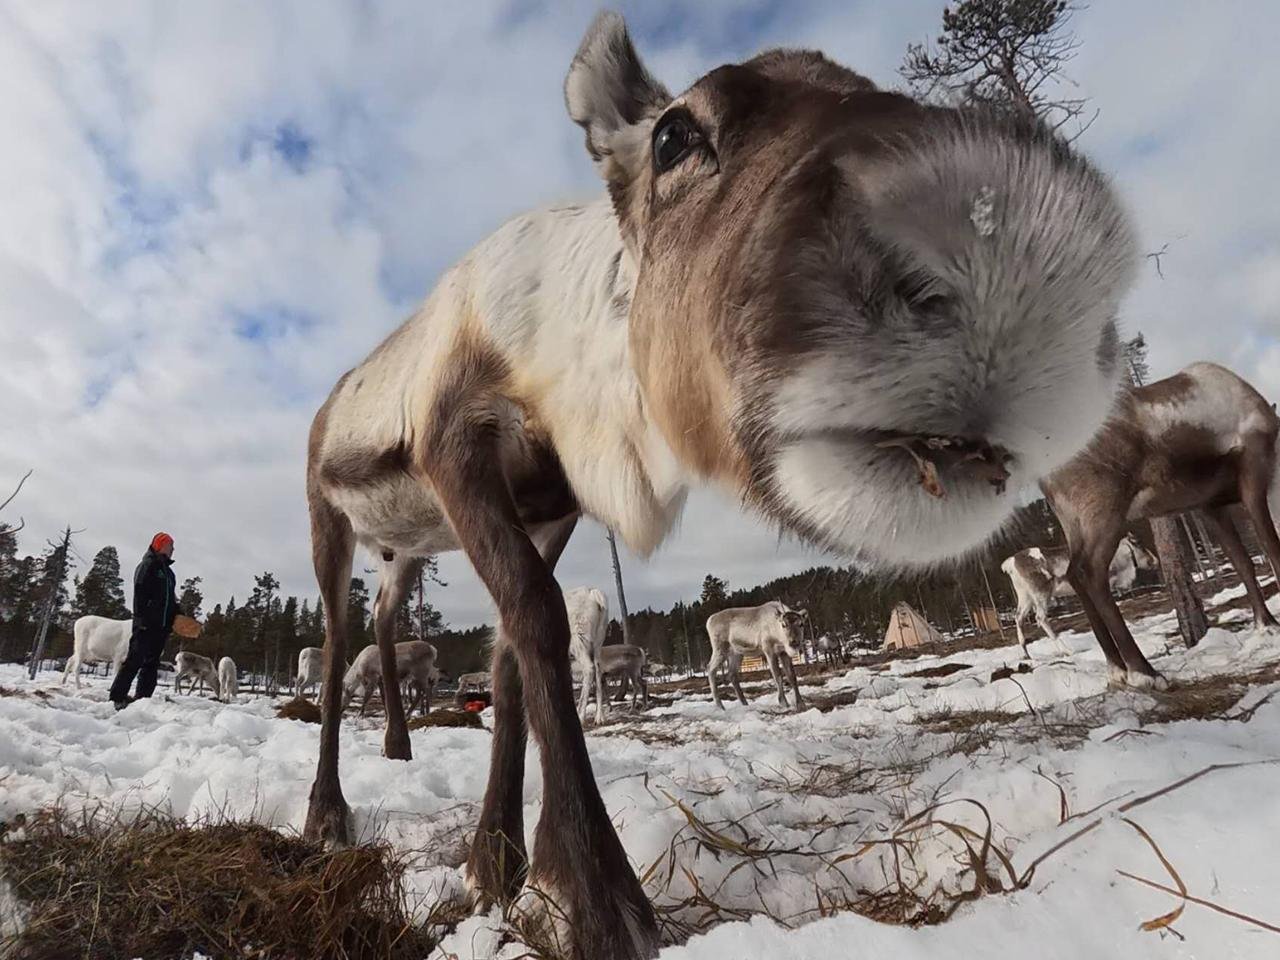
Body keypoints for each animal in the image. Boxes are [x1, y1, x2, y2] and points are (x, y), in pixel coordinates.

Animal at [299, 12, 1136, 958]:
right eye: (673, 135)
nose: (1013, 241)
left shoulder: (550, 504)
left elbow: (513, 651)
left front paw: (498, 862)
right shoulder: (457, 446)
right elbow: (535, 621)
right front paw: (590, 892)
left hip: (403, 546)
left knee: (381, 618)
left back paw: (399, 747)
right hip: (329, 518)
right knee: (335, 637)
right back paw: (326, 813)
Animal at [1042, 362, 1280, 688]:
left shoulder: (1210, 505)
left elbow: (1243, 562)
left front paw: (1265, 624)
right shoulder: (1252, 475)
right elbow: (1271, 547)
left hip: (1073, 522)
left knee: (1072, 574)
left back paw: (1116, 669)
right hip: (1103, 512)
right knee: (1088, 571)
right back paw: (1145, 672)